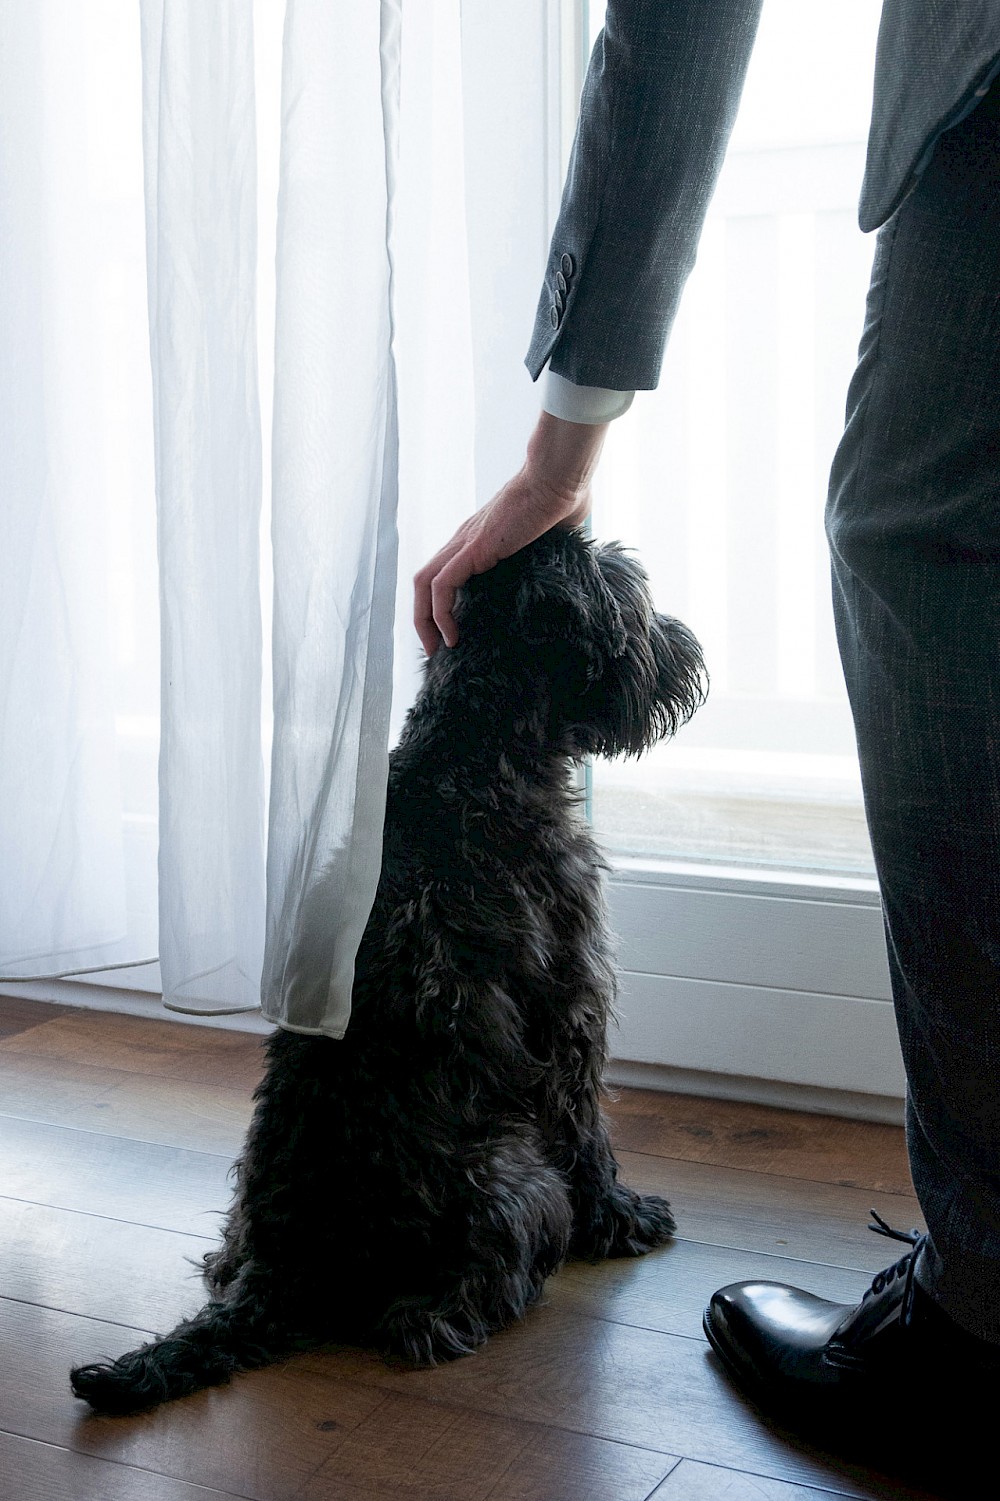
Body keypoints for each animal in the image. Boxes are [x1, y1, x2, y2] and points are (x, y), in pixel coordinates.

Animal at [72, 525, 699, 1404]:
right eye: (634, 600)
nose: (686, 646)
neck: (470, 758)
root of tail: (283, 1266)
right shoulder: (570, 1007)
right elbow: (588, 1132)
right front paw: (622, 1216)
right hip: (514, 1171)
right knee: (439, 1309)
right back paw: (472, 1307)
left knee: (224, 1259)